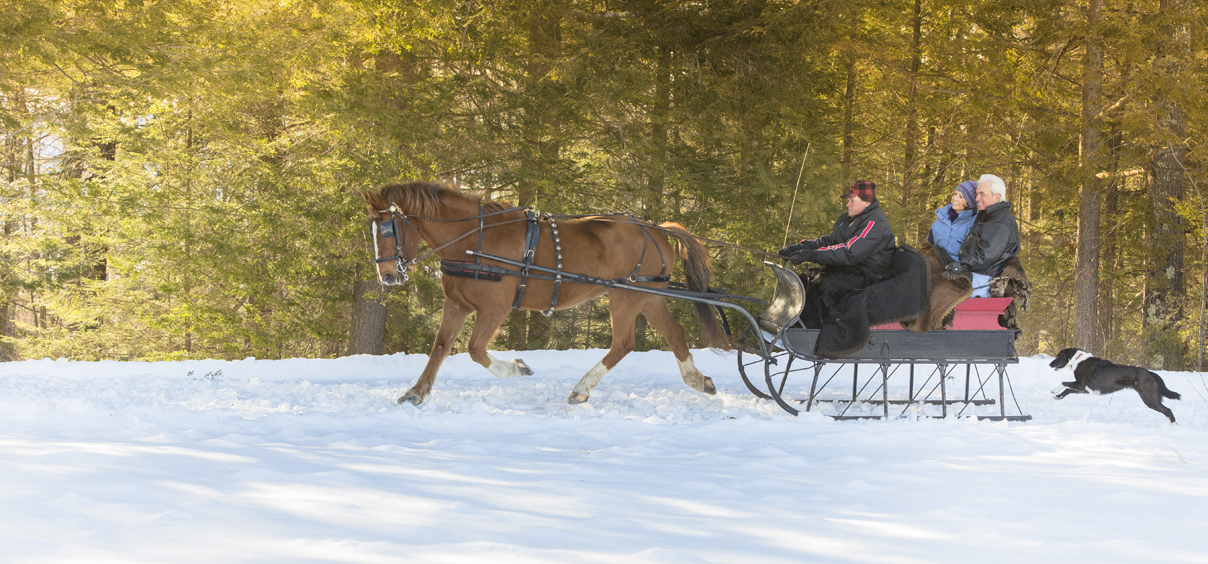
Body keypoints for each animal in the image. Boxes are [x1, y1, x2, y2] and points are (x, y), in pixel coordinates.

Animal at [362, 181, 729, 405]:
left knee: (624, 343)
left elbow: (475, 349)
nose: (387, 275)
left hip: (625, 296)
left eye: (388, 228)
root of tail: (655, 228)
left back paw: (581, 388)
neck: (473, 240)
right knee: (675, 333)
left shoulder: (494, 308)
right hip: (648, 295)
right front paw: (416, 392)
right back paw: (697, 380)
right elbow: (440, 347)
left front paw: (517, 367)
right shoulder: (456, 303)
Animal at [1048, 347, 1179, 425]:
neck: (1077, 360)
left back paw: (1173, 426)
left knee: (1167, 410)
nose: (1049, 364)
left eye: (1059, 356)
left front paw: (1054, 391)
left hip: (1149, 398)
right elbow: (1067, 390)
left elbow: (1064, 383)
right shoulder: (1085, 390)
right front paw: (1058, 396)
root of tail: (1150, 372)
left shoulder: (1080, 385)